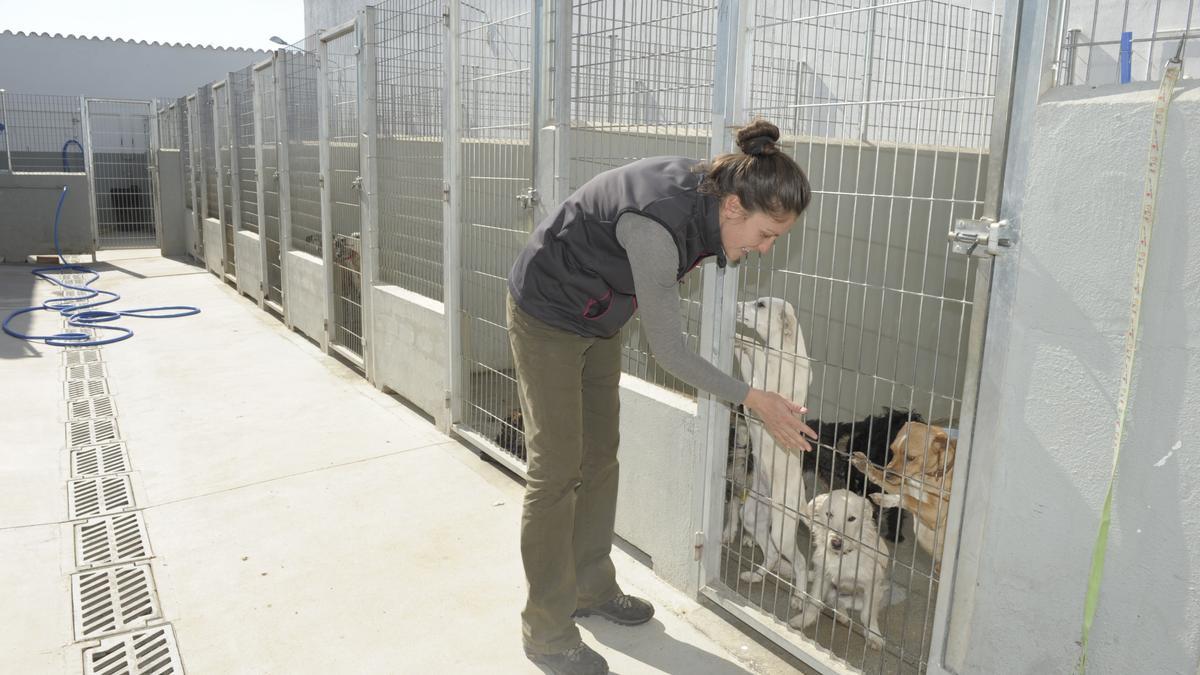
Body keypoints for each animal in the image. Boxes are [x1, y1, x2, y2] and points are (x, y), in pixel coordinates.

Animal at [724, 294, 811, 583]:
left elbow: (758, 350)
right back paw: (756, 575)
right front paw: (736, 339)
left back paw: (801, 593)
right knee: (771, 554)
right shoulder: (752, 379)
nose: (736, 305)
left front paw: (745, 339)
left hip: (782, 531)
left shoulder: (768, 383)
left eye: (760, 305)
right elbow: (749, 353)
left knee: (800, 563)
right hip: (752, 515)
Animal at [787, 487, 892, 648]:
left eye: (852, 519)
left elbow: (868, 615)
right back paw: (840, 613)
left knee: (844, 602)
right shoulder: (822, 575)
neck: (842, 556)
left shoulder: (872, 586)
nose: (836, 543)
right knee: (832, 598)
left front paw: (874, 636)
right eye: (829, 514)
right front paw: (804, 620)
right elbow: (814, 602)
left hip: (881, 594)